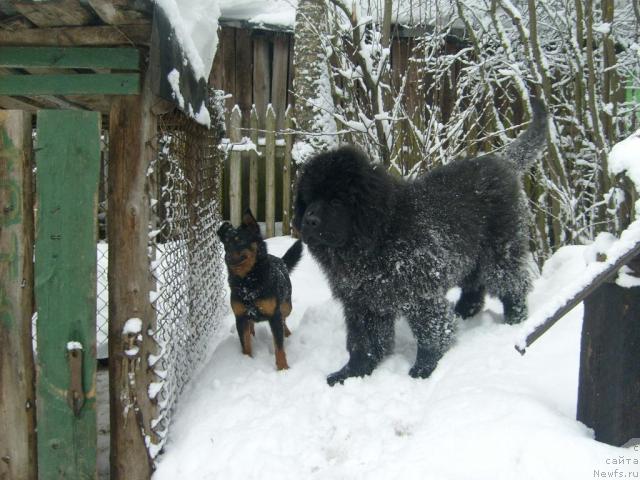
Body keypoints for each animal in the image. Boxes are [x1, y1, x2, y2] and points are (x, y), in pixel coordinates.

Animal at [218, 208, 302, 370]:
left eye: (240, 241)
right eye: (226, 244)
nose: (227, 257)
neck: (248, 282)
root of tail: (280, 260)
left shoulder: (274, 315)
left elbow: (279, 347)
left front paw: (283, 369)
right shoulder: (240, 317)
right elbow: (245, 345)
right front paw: (247, 361)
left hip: (286, 305)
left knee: (284, 319)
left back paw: (287, 334)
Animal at [292, 99, 548, 384]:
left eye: (337, 201)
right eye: (308, 199)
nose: (309, 221)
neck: (376, 240)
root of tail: (502, 161)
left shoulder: (419, 294)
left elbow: (432, 331)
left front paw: (424, 368)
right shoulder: (362, 302)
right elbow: (363, 341)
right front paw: (352, 372)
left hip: (501, 250)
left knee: (512, 284)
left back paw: (515, 320)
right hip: (471, 254)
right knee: (474, 285)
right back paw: (464, 312)